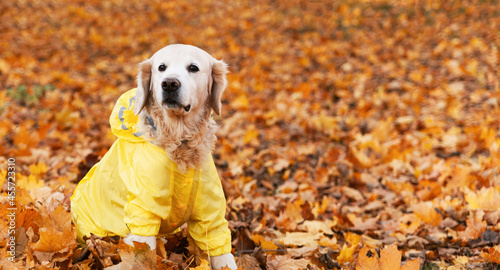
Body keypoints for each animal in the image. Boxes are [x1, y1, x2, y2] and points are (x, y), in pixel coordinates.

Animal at [70, 44, 238, 270]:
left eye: (193, 67)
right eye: (161, 67)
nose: (169, 83)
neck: (179, 141)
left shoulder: (211, 215)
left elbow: (221, 250)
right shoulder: (143, 212)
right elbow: (143, 254)